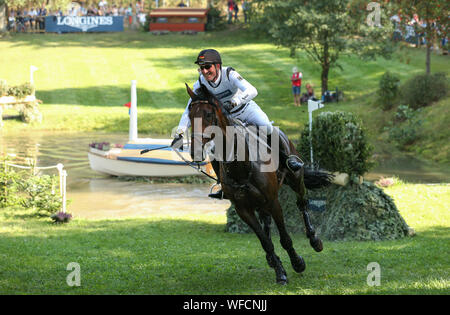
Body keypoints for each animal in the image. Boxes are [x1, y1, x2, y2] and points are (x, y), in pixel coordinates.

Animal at [185, 83, 330, 284]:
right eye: (190, 115)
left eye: (207, 114)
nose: (196, 151)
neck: (241, 165)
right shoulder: (243, 209)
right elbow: (265, 242)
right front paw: (280, 271)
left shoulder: (273, 201)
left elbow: (285, 238)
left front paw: (297, 263)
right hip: (259, 203)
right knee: (266, 221)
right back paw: (272, 260)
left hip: (295, 179)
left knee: (302, 204)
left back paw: (314, 240)